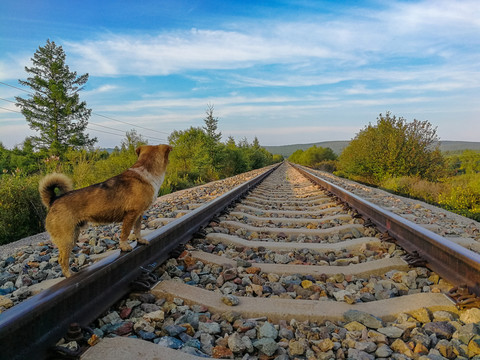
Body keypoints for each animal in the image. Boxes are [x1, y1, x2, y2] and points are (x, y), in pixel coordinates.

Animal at [39, 145, 172, 278]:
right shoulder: (131, 214)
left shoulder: (138, 214)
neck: (145, 171)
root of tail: (53, 200)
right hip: (67, 238)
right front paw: (124, 246)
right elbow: (125, 233)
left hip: (73, 234)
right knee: (62, 260)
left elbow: (138, 229)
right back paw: (70, 275)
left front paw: (140, 240)